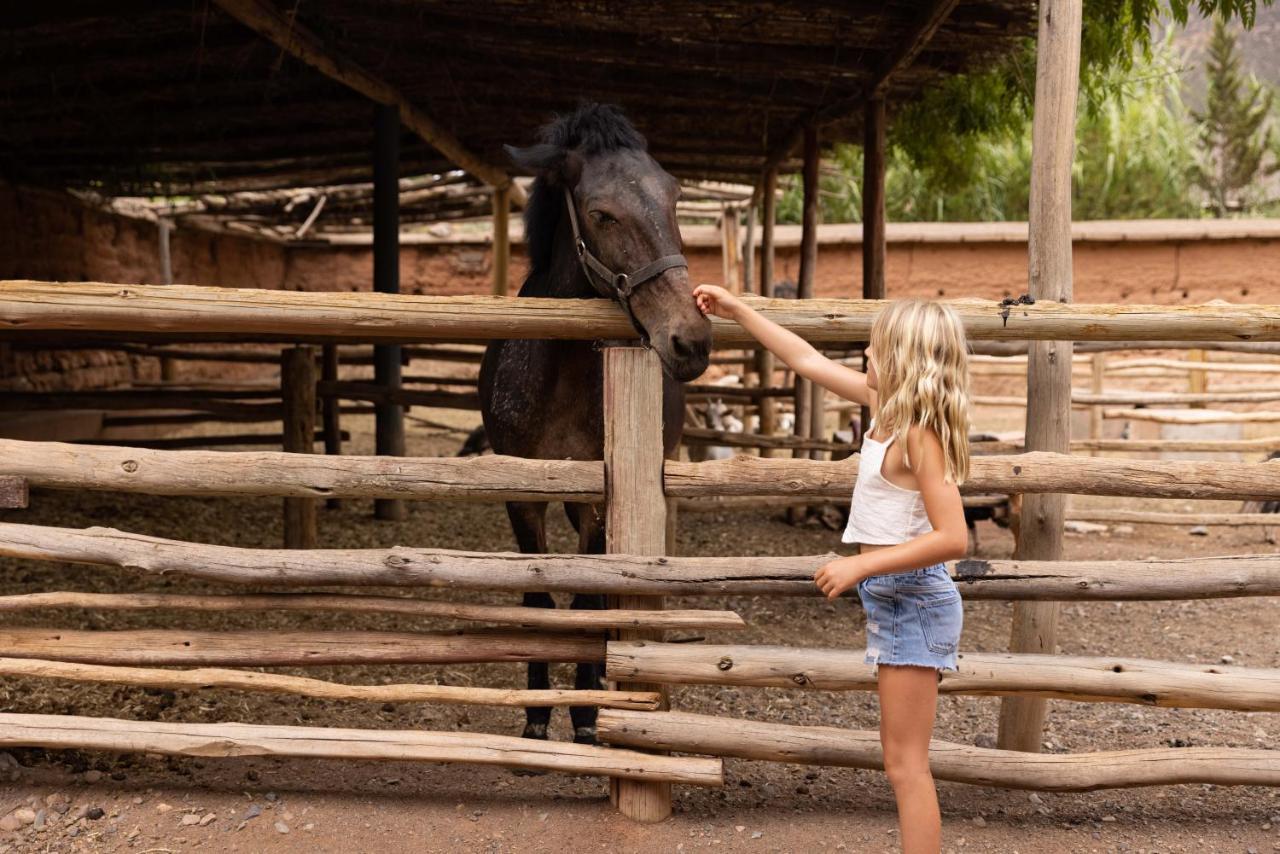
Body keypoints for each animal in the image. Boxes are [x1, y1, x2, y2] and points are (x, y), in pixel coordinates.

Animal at [478, 103, 711, 742]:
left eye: (673, 197)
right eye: (602, 214)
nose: (691, 341)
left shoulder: (601, 502)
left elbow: (588, 596)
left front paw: (585, 717)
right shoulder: (521, 495)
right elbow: (539, 600)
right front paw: (537, 718)